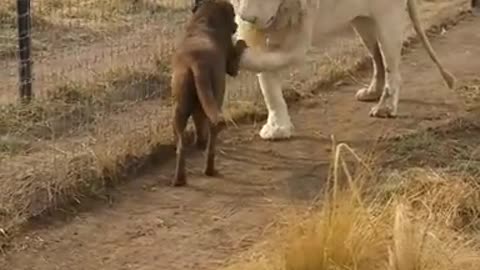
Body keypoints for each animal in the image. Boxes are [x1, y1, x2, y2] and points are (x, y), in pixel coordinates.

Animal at [171, 0, 248, 187]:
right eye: (233, 14)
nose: (236, 25)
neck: (204, 19)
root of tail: (195, 62)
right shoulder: (231, 65)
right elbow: (237, 53)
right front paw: (242, 41)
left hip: (180, 107)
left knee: (182, 145)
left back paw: (180, 178)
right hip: (216, 97)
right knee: (212, 134)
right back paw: (210, 169)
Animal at [231, 0, 456, 139]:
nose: (248, 19)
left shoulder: (299, 33)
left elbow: (273, 59)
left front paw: (235, 51)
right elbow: (268, 85)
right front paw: (277, 129)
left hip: (387, 17)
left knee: (392, 65)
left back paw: (385, 108)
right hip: (362, 21)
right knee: (377, 57)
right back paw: (372, 92)